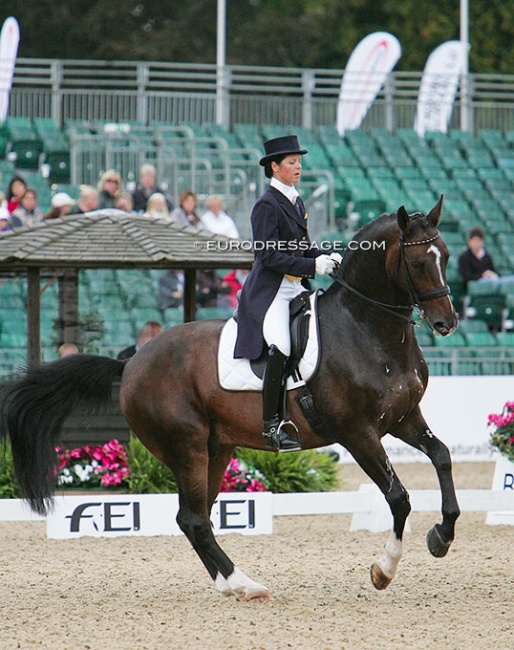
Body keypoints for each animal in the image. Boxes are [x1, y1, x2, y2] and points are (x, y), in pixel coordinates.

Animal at [0, 196, 458, 596]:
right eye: (418, 262)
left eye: (447, 256)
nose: (447, 323)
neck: (368, 330)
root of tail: (130, 363)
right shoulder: (358, 433)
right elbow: (398, 498)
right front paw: (384, 569)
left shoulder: (403, 418)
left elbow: (442, 456)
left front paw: (441, 536)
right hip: (187, 446)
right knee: (193, 518)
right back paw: (245, 585)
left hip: (216, 448)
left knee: (195, 516)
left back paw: (232, 584)